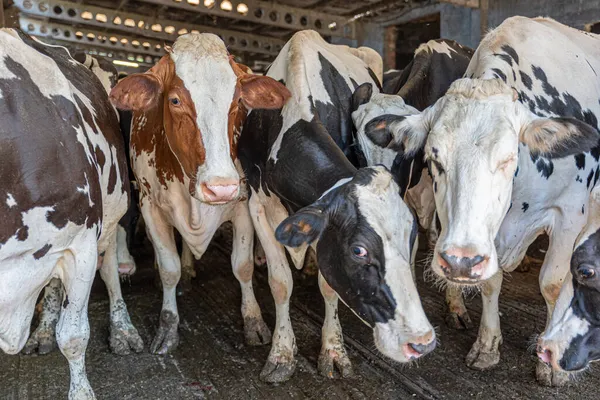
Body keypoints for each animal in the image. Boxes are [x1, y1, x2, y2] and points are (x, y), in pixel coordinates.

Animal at [0, 28, 138, 396]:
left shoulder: (80, 243)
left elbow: (74, 336)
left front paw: (83, 393)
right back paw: (43, 329)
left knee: (111, 269)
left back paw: (123, 329)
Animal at [111, 33, 292, 354]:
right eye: (174, 100)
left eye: (238, 101)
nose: (220, 186)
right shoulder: (150, 206)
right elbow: (169, 269)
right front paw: (168, 325)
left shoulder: (242, 203)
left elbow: (242, 267)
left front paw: (253, 321)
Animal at [237, 29, 434, 382]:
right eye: (359, 250)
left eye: (411, 236)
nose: (421, 342)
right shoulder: (259, 202)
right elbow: (280, 282)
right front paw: (281, 353)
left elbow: (329, 287)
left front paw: (333, 350)